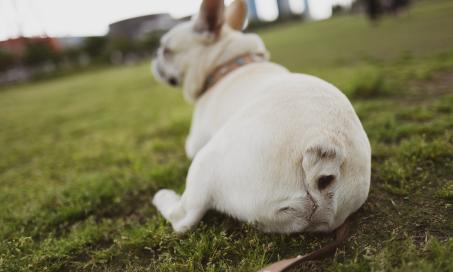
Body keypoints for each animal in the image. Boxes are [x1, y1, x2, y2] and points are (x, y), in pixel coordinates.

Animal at [150, 0, 370, 234]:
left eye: (166, 50)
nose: (155, 58)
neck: (227, 64)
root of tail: (325, 157)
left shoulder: (194, 142)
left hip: (206, 162)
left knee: (183, 219)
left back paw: (164, 197)